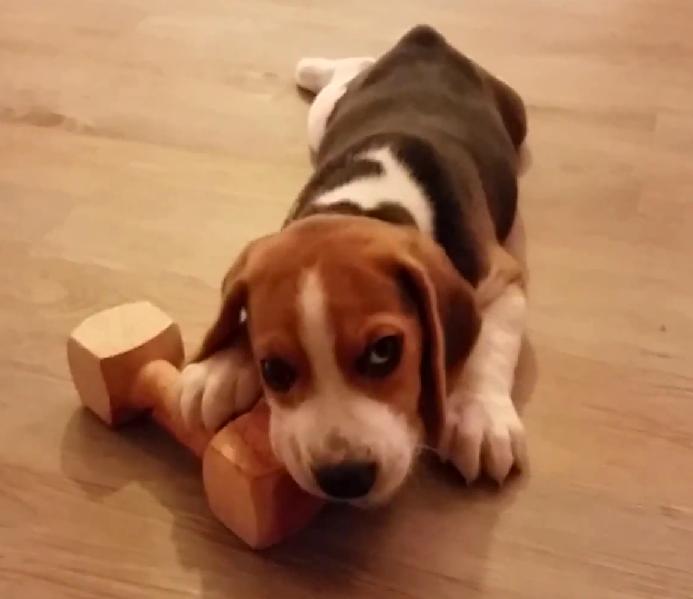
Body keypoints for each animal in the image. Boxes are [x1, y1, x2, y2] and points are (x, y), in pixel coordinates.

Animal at [181, 27, 528, 506]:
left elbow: (491, 341)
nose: (344, 479)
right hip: (324, 117)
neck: (365, 202)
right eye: (273, 370)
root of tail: (425, 38)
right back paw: (315, 67)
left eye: (384, 352)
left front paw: (480, 414)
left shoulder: (503, 277)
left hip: (517, 113)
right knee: (347, 71)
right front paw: (220, 365)